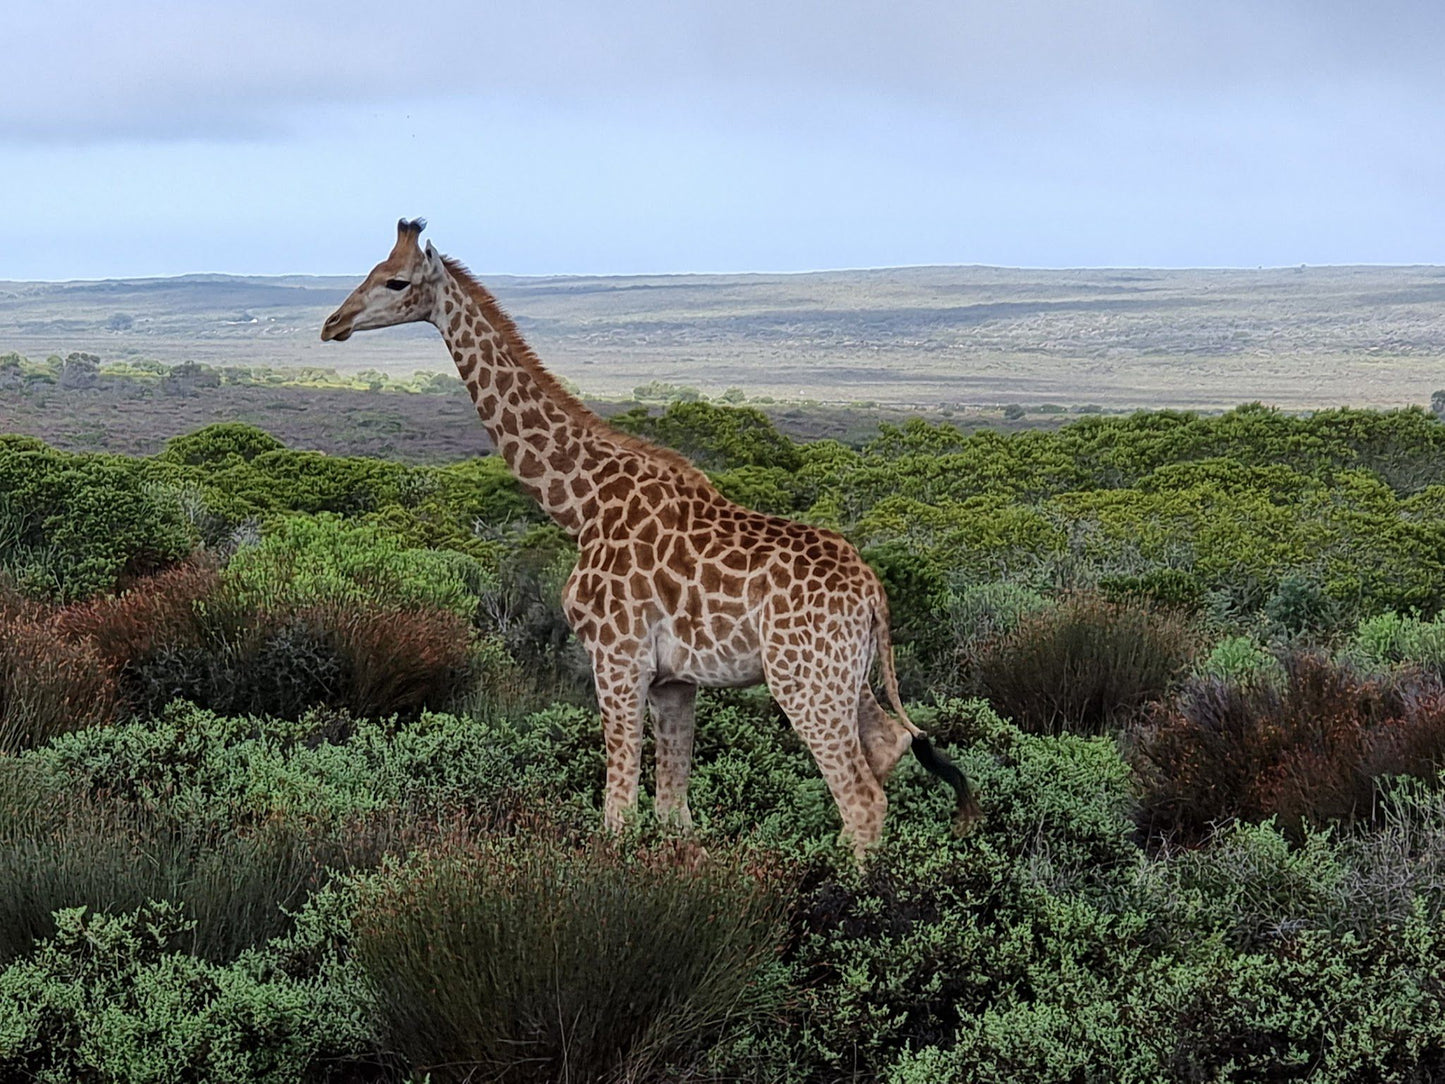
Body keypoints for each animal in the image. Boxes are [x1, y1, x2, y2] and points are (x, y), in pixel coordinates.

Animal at [325, 221, 982, 855]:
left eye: (395, 281)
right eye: (372, 270)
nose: (334, 324)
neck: (583, 504)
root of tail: (873, 593)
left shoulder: (617, 656)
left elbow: (618, 810)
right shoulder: (674, 679)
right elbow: (673, 810)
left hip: (804, 681)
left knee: (862, 801)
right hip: (844, 676)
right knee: (889, 747)